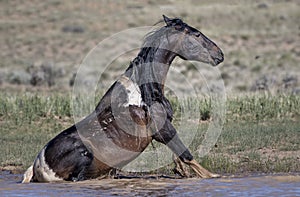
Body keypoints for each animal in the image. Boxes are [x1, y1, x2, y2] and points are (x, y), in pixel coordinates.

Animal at [22, 15, 223, 183]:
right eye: (197, 34)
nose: (220, 55)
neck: (144, 90)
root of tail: (37, 165)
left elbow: (179, 155)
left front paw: (181, 172)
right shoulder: (163, 129)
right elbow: (187, 155)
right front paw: (212, 176)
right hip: (83, 158)